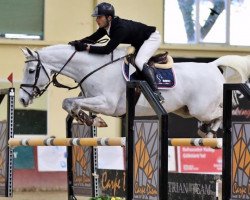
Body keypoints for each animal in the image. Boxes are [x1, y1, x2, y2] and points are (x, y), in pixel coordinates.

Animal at [19, 44, 250, 138]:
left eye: (30, 70)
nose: (21, 99)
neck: (93, 67)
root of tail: (212, 66)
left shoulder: (108, 103)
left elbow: (72, 103)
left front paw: (90, 119)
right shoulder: (91, 98)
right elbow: (68, 103)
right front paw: (89, 119)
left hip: (199, 108)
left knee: (221, 112)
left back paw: (209, 130)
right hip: (185, 110)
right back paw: (206, 130)